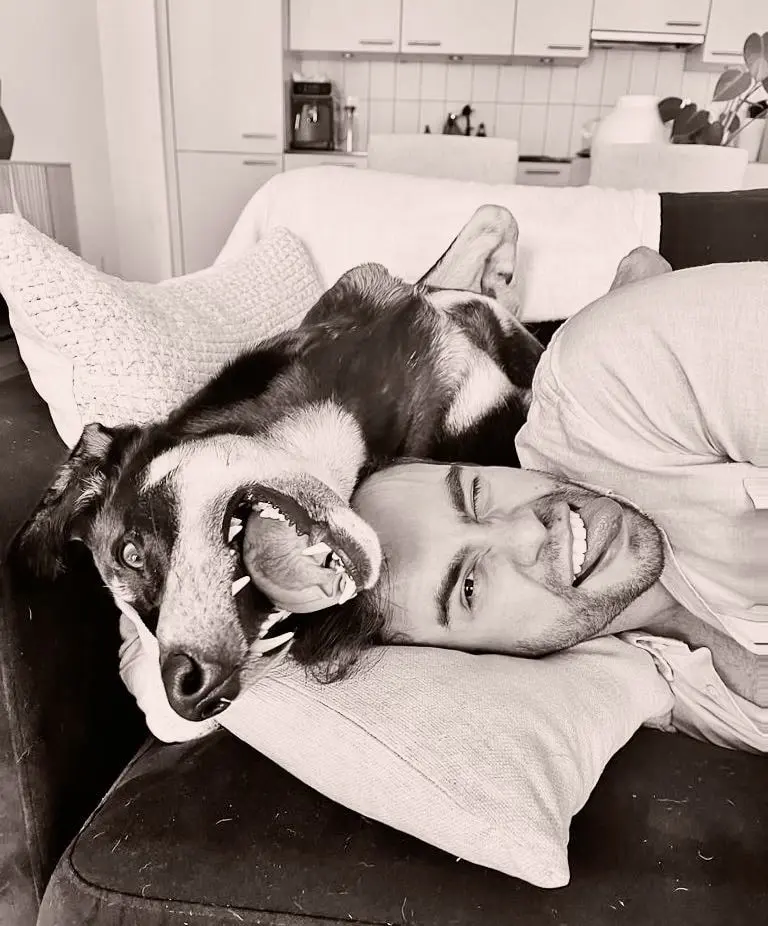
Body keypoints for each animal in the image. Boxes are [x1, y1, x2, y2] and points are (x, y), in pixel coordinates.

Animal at [13, 205, 544, 722]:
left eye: (130, 554)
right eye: (139, 614)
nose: (186, 694)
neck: (348, 402)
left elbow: (493, 218)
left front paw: (498, 280)